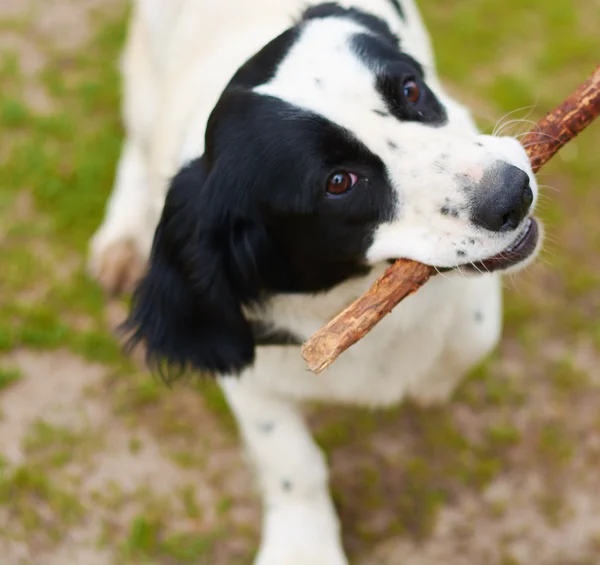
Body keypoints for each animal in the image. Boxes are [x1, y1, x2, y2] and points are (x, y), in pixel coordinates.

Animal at [89, 2, 544, 560]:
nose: (513, 194)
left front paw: (431, 383)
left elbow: (472, 335)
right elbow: (290, 459)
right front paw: (303, 545)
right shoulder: (240, 355)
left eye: (411, 90)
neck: (352, 298)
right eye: (338, 183)